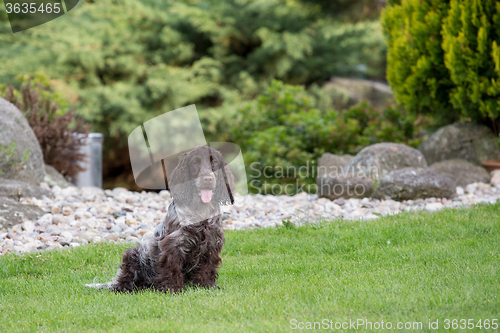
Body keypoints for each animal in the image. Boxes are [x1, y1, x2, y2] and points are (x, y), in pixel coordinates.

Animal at [86, 147, 234, 292]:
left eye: (214, 161)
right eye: (195, 162)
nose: (208, 179)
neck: (201, 208)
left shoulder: (211, 243)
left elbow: (206, 268)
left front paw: (207, 286)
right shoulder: (174, 244)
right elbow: (172, 268)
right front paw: (172, 288)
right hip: (134, 254)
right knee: (124, 281)